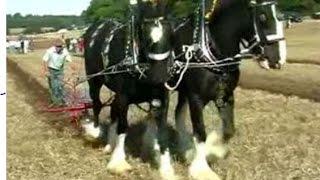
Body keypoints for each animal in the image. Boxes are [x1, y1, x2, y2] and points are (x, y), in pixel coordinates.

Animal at [82, 1, 178, 179]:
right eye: (145, 36)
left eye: (171, 35)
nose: (159, 77)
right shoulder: (124, 97)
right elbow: (123, 126)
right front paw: (119, 162)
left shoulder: (162, 99)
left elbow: (162, 133)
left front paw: (166, 170)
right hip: (94, 81)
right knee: (97, 104)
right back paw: (96, 131)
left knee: (112, 110)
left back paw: (109, 145)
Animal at [171, 0, 286, 179]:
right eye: (262, 17)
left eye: (281, 16)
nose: (278, 60)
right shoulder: (196, 98)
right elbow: (200, 133)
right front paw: (201, 169)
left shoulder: (226, 95)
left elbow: (229, 130)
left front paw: (214, 148)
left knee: (178, 115)